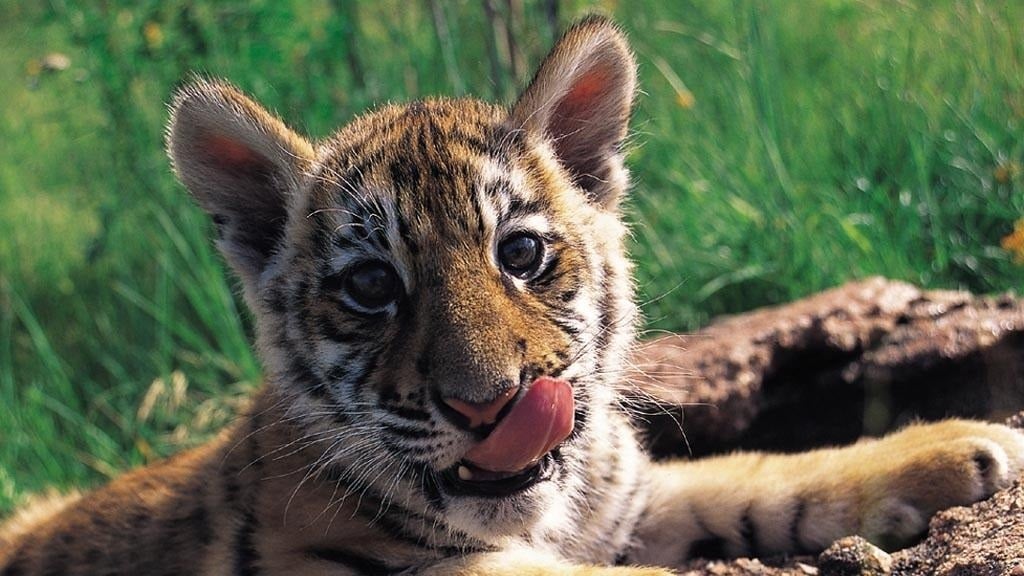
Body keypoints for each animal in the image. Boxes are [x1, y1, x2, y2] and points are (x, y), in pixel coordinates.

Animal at [2, 15, 1023, 576]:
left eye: (521, 253)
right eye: (371, 286)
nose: (490, 405)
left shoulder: (630, 501)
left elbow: (756, 473)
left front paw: (961, 448)